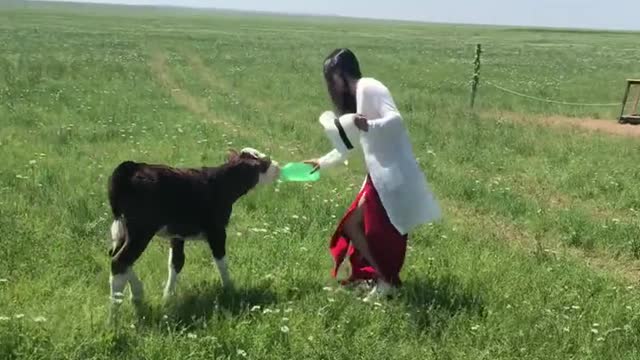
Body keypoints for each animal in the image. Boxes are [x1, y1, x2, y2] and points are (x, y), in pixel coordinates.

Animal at [106, 148, 278, 304]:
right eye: (265, 163)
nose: (277, 165)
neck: (221, 184)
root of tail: (131, 166)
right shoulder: (217, 231)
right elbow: (221, 261)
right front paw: (230, 289)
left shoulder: (177, 234)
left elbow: (176, 262)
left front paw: (168, 296)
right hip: (141, 230)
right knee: (119, 261)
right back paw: (115, 312)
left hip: (124, 229)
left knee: (118, 258)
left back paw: (137, 294)